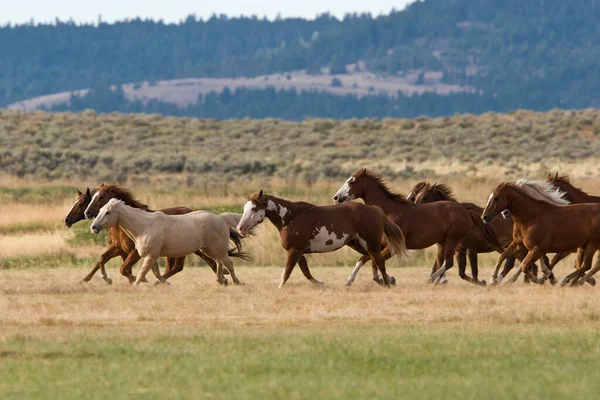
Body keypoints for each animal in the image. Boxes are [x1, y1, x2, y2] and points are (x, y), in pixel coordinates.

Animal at [234, 191, 408, 288]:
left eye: (254, 208)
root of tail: (374, 210)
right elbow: (305, 271)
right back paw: (382, 280)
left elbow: (287, 272)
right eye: (244, 208)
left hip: (370, 243)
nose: (240, 228)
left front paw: (279, 288)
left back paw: (386, 282)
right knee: (370, 258)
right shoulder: (298, 251)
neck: (291, 217)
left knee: (379, 260)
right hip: (358, 244)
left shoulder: (295, 250)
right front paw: (321, 284)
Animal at [332, 168, 474, 284]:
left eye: (352, 182)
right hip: (443, 242)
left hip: (452, 239)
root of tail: (464, 211)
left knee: (448, 262)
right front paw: (350, 280)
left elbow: (374, 260)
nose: (336, 197)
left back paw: (432, 278)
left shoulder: (393, 248)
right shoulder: (379, 245)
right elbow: (366, 259)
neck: (390, 212)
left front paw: (386, 280)